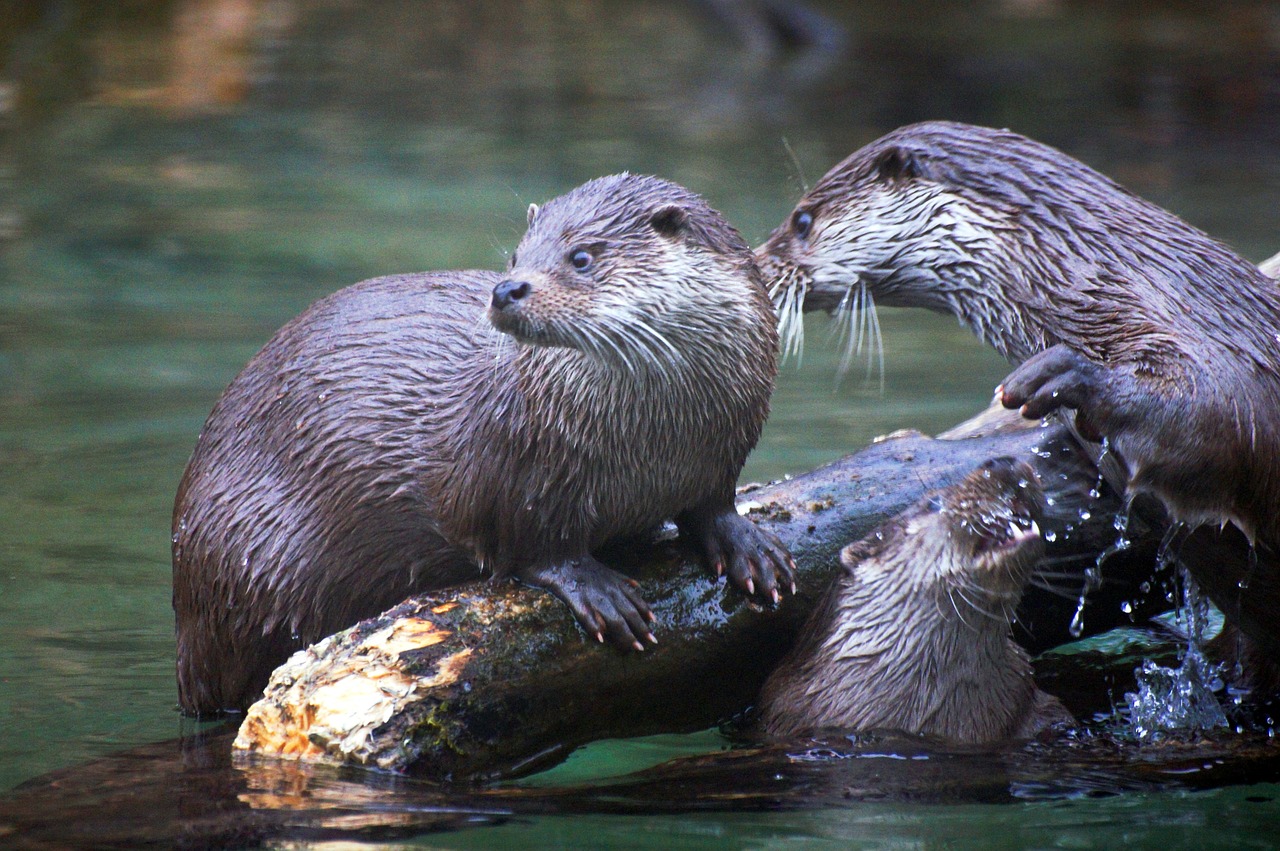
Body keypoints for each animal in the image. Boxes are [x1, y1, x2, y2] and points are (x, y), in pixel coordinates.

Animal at [170, 174, 788, 716]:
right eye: (516, 256)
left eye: (581, 257)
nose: (507, 288)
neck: (656, 443)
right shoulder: (522, 468)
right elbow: (533, 546)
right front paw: (598, 589)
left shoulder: (724, 448)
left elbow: (713, 504)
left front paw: (748, 545)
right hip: (247, 564)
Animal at [752, 119, 1280, 675]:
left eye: (802, 220)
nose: (756, 265)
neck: (1089, 271)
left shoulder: (1212, 341)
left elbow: (1226, 417)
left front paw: (1069, 373)